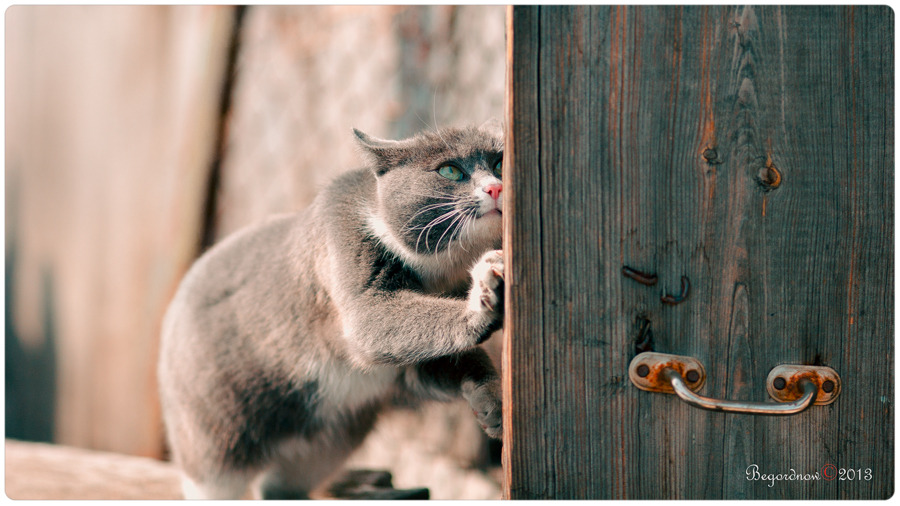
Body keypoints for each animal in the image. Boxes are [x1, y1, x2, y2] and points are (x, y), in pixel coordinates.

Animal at [157, 121, 502, 498]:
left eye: (500, 163)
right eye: (450, 170)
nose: (497, 186)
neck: (436, 275)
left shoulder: (410, 365)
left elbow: (449, 358)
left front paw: (492, 401)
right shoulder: (344, 244)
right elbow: (372, 326)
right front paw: (484, 298)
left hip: (332, 440)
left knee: (280, 487)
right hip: (212, 430)